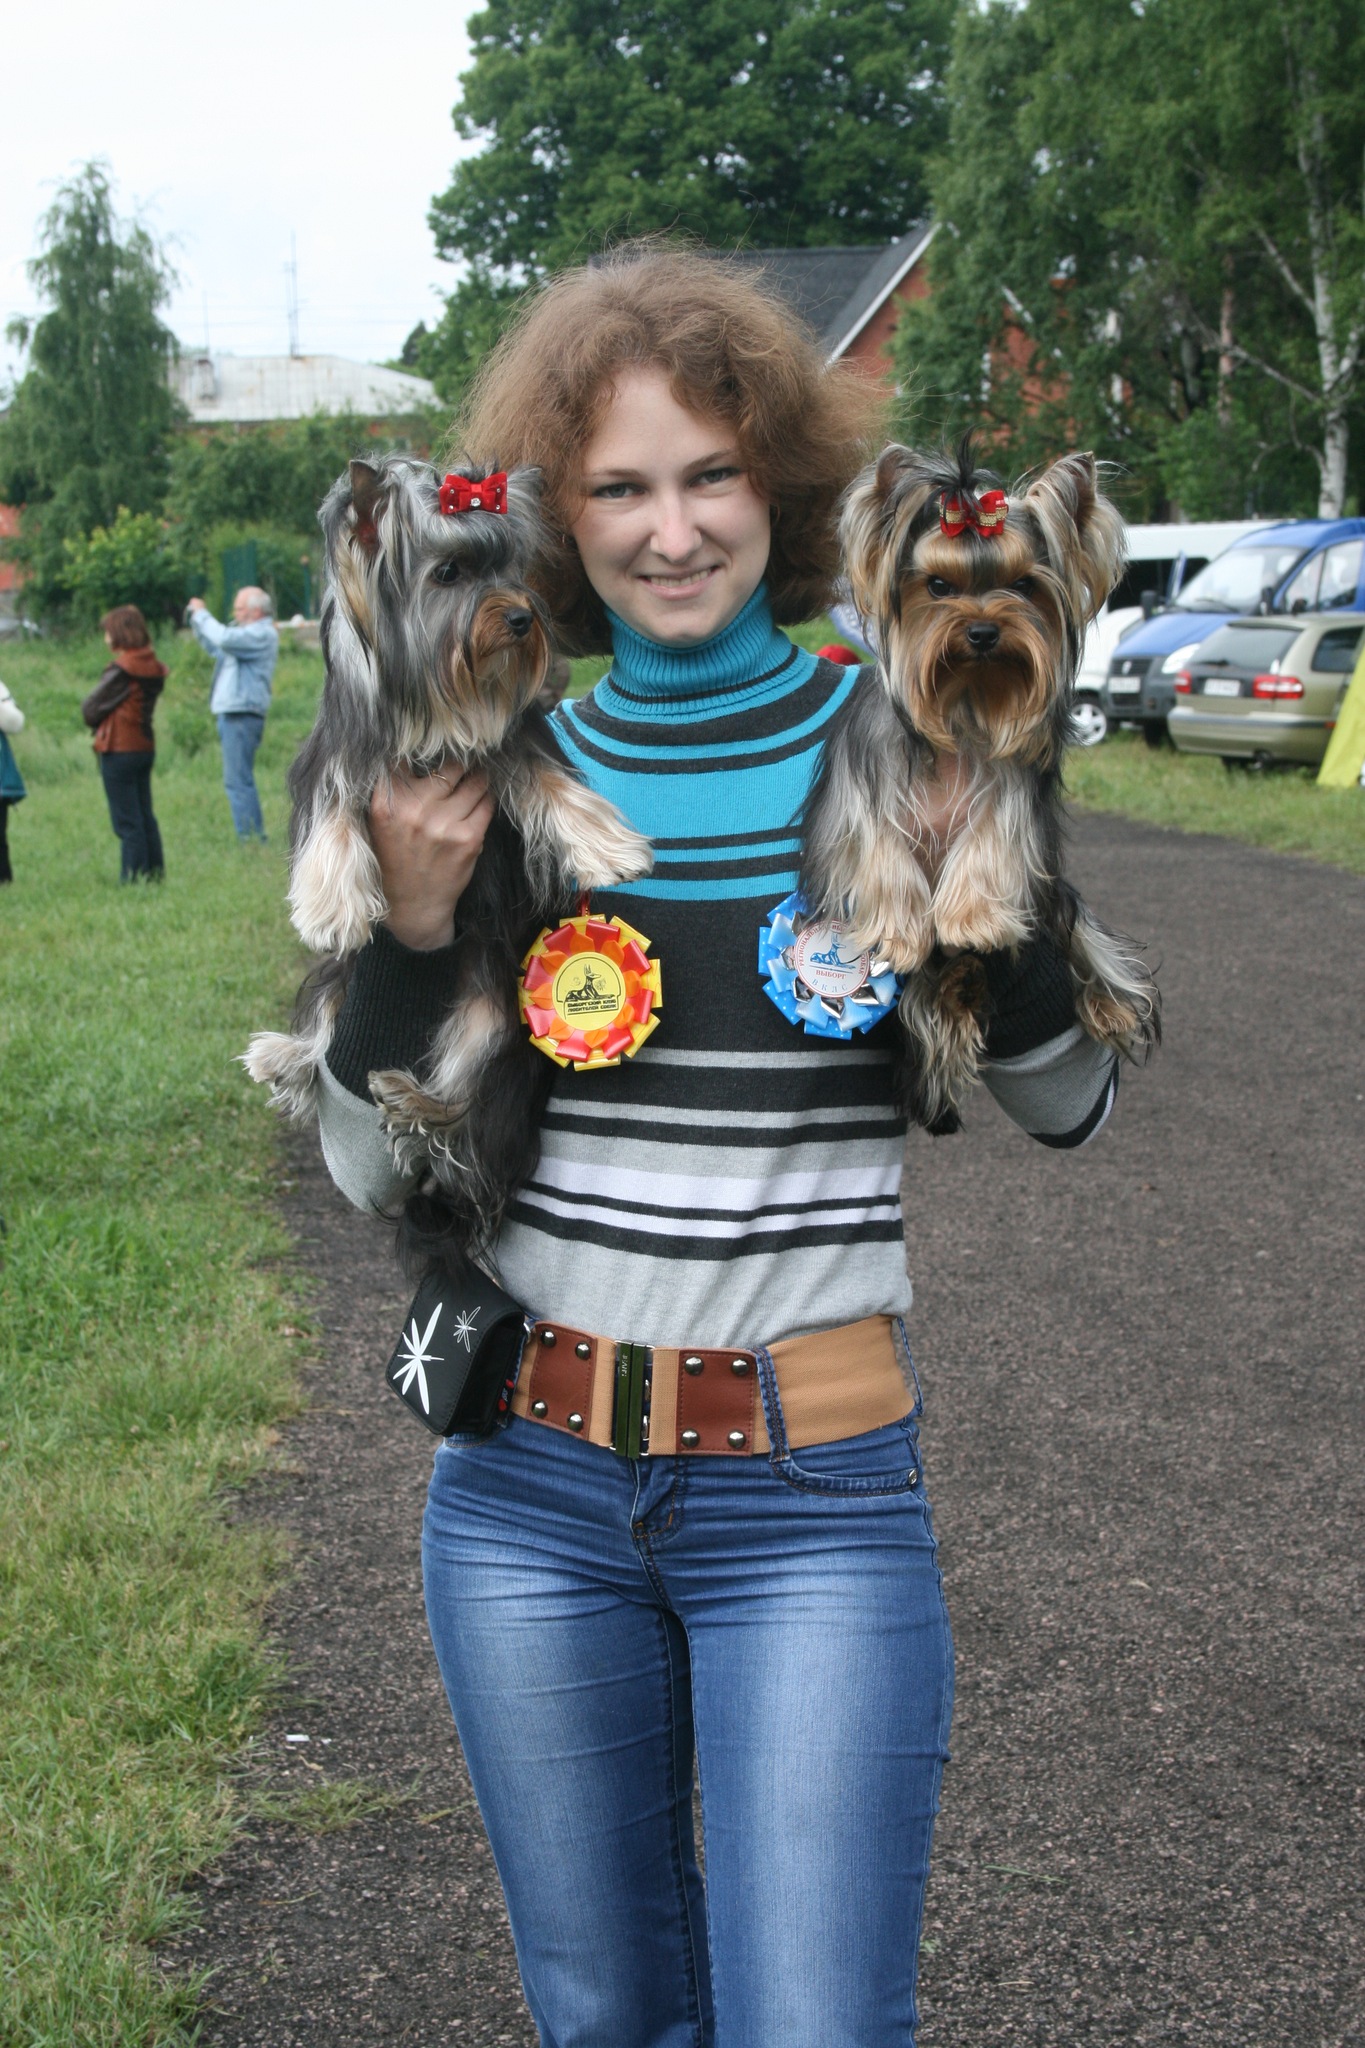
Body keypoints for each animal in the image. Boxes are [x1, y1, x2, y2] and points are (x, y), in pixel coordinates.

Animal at [245, 454, 652, 1263]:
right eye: (450, 572)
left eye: (507, 567)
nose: (522, 618)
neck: (431, 712)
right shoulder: (337, 752)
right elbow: (332, 816)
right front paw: (331, 903)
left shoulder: (509, 740)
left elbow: (548, 781)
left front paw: (607, 846)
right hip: (341, 982)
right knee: (327, 1027)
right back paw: (289, 1058)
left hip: (494, 1017)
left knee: (463, 1106)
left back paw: (418, 1104)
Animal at [802, 438, 1159, 1131]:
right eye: (938, 585)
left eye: (1023, 584)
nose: (984, 631)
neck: (965, 703)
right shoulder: (865, 797)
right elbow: (883, 858)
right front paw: (898, 932)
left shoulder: (1011, 799)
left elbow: (989, 850)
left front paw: (972, 921)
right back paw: (960, 990)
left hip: (1059, 902)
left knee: (1084, 940)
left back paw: (1108, 1005)